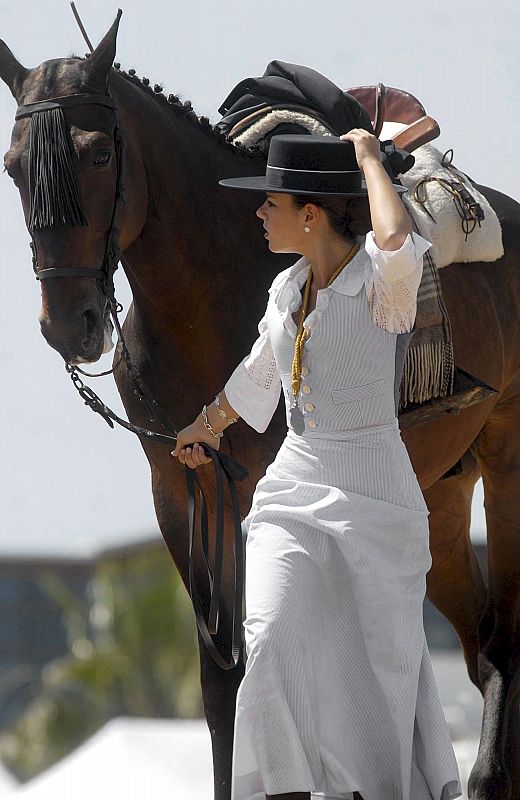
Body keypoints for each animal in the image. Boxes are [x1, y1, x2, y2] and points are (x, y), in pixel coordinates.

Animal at [1, 14, 520, 800]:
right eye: (11, 166)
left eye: (97, 154)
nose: (71, 323)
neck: (211, 287)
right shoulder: (185, 492)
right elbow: (223, 687)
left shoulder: (256, 495)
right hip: (439, 496)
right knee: (480, 647)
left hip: (507, 461)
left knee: (504, 643)